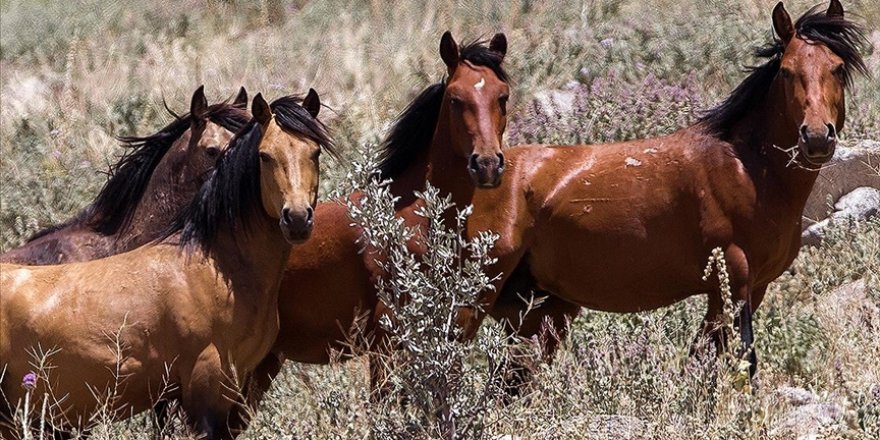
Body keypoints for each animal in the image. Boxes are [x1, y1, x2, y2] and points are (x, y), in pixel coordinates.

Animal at [244, 32, 512, 404]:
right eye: (456, 99)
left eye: (502, 96)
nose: (486, 165)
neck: (415, 220)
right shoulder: (386, 342)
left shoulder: (448, 335)